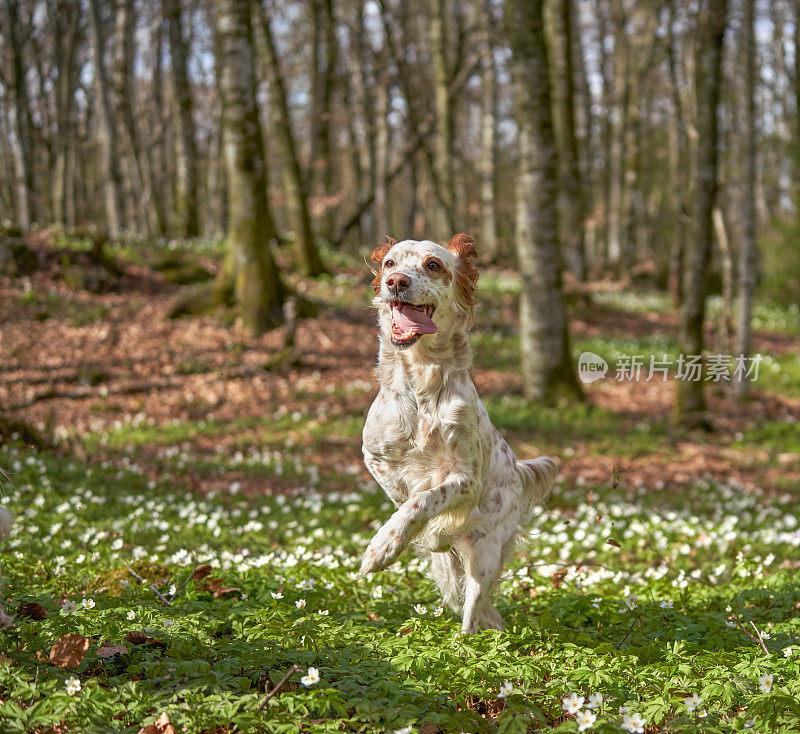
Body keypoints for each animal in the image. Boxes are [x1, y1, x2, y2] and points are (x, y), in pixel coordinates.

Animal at [360, 234, 556, 632]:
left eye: (433, 265)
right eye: (389, 263)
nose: (396, 282)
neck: (422, 375)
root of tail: (518, 474)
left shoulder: (467, 478)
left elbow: (425, 497)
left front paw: (383, 546)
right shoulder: (374, 454)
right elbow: (405, 496)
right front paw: (409, 534)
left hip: (483, 556)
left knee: (474, 616)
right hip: (448, 576)